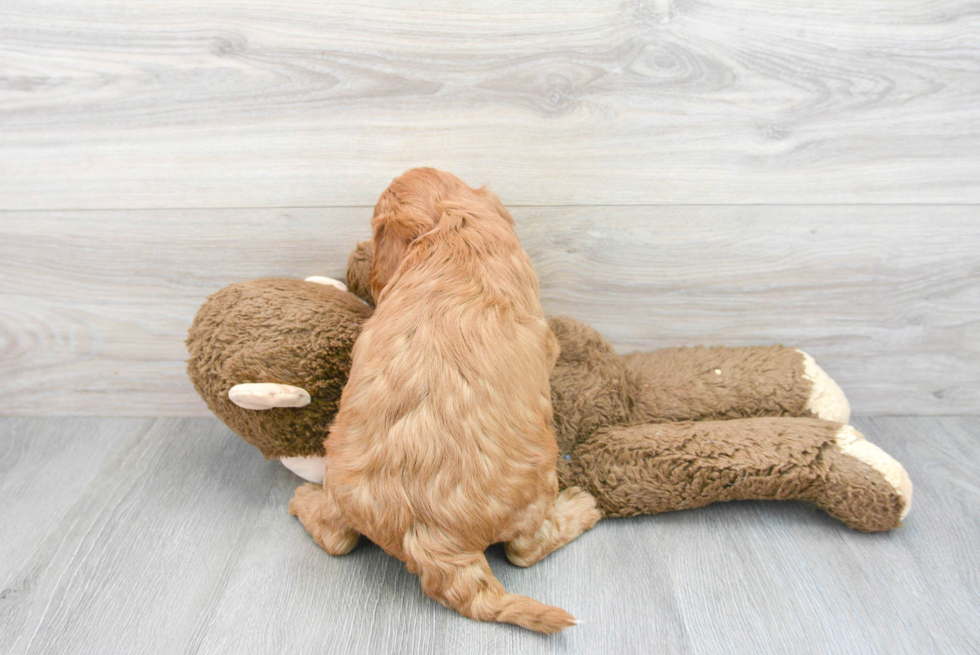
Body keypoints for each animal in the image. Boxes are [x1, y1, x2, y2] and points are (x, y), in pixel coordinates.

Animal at [288, 169, 600, 636]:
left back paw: (302, 500)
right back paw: (582, 506)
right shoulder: (545, 337)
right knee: (524, 551)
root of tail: (435, 542)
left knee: (336, 537)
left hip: (342, 486)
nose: (357, 252)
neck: (452, 226)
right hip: (537, 488)